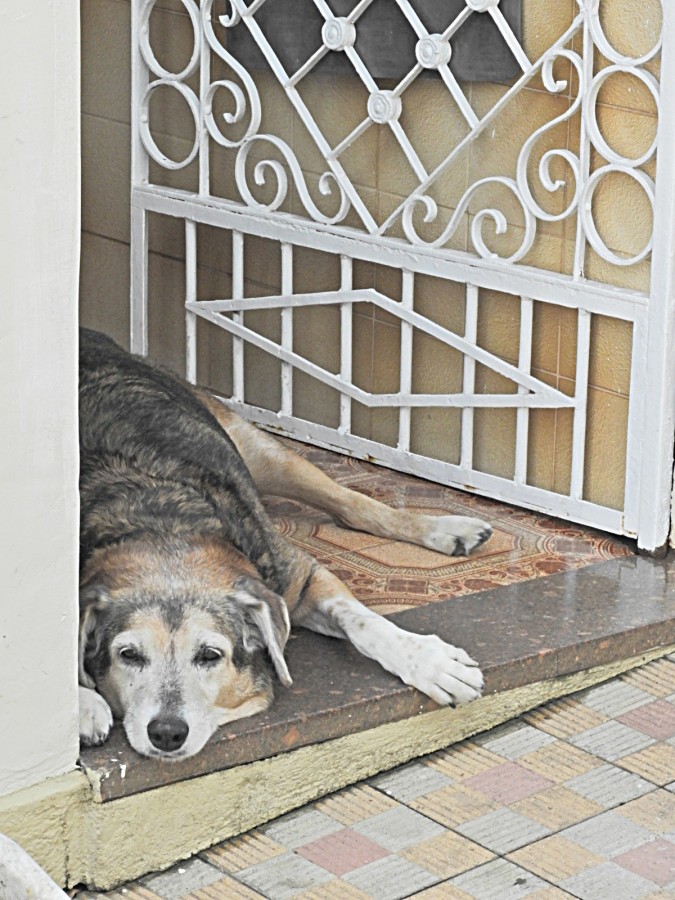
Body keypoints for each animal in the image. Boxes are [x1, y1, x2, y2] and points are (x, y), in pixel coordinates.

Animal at [78, 326, 492, 756]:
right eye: (128, 655)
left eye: (210, 655)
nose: (166, 732)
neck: (163, 524)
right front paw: (83, 704)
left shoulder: (302, 576)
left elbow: (363, 622)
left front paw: (432, 663)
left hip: (264, 452)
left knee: (351, 505)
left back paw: (448, 530)